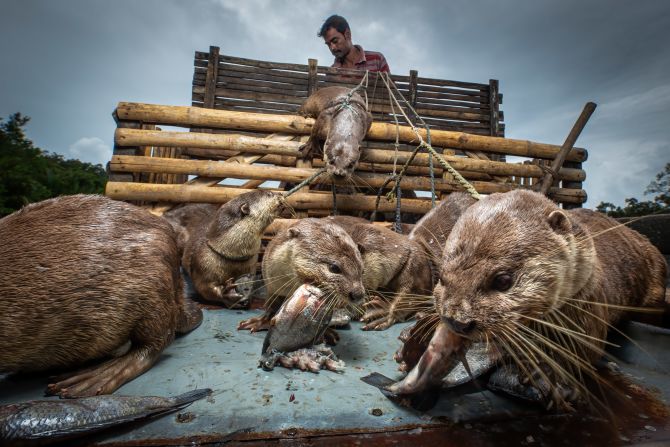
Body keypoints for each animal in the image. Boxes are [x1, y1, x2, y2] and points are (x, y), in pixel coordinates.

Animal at [238, 217, 366, 335]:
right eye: (334, 268)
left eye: (362, 270)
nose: (358, 294)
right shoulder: (272, 286)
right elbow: (271, 306)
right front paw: (259, 322)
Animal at [388, 190, 668, 410]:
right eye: (443, 279)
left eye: (503, 280)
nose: (457, 321)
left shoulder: (589, 309)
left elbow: (582, 351)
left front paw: (545, 378)